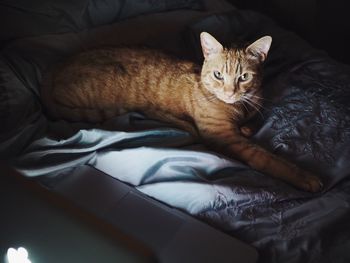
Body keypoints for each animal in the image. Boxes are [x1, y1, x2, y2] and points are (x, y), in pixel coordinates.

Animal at [42, 32, 324, 194]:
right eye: (218, 75)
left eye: (244, 77)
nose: (230, 92)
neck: (239, 106)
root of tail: (54, 71)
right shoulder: (224, 137)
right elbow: (268, 159)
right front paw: (305, 177)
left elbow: (253, 122)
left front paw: (247, 125)